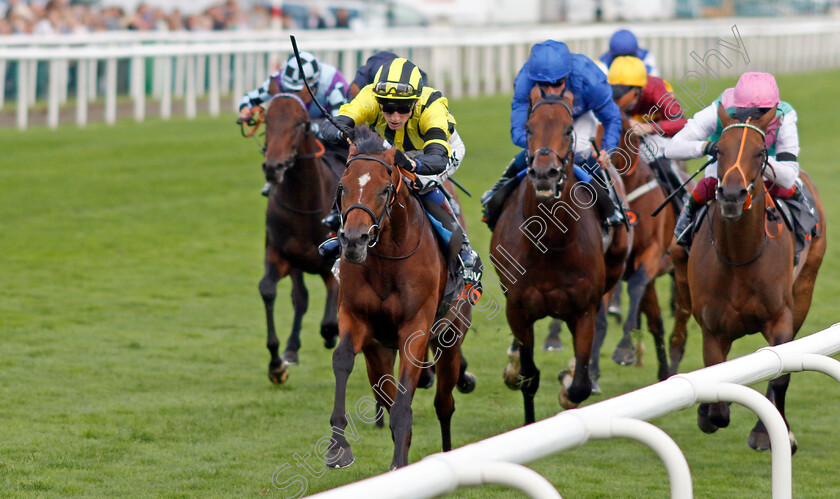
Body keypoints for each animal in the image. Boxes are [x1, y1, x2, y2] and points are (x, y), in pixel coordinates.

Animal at [260, 93, 344, 382]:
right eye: (267, 119)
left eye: (300, 123)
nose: (273, 167)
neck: (305, 203)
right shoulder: (280, 254)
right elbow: (268, 290)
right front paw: (276, 364)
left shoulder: (333, 262)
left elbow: (329, 319)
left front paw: (331, 334)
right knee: (300, 298)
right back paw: (292, 349)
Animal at [324, 128, 470, 468]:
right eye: (342, 186)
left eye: (385, 188)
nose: (354, 240)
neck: (387, 260)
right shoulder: (356, 319)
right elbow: (342, 360)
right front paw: (338, 446)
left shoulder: (415, 328)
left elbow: (405, 403)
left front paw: (398, 464)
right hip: (378, 354)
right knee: (387, 395)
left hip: (451, 338)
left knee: (444, 403)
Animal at [496, 89, 628, 422]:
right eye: (528, 128)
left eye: (569, 130)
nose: (545, 173)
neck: (549, 242)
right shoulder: (518, 309)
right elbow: (529, 377)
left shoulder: (583, 310)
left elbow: (580, 383)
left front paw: (569, 385)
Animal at [680, 106, 824, 454]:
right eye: (718, 150)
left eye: (760, 152)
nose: (732, 195)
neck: (739, 258)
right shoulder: (712, 330)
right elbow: (718, 400)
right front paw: (707, 411)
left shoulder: (781, 318)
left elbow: (781, 373)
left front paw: (771, 433)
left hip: (804, 289)